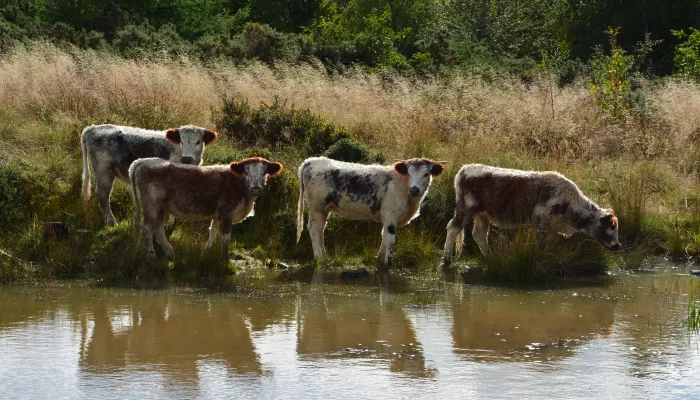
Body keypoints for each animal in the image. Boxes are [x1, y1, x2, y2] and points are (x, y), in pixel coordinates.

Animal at [79, 123, 217, 227]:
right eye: (181, 142)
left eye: (198, 142)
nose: (186, 158)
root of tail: (93, 128)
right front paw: (169, 223)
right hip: (103, 171)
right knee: (103, 195)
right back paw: (111, 222)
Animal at [129, 156, 282, 260]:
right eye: (246, 172)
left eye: (264, 172)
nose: (256, 188)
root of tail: (145, 160)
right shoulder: (226, 213)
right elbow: (225, 238)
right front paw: (224, 260)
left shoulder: (218, 215)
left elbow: (212, 232)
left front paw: (207, 253)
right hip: (152, 204)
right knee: (148, 227)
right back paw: (151, 257)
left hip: (161, 207)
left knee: (158, 227)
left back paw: (169, 253)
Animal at [298, 158, 446, 268]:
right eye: (408, 173)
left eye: (426, 174)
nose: (414, 189)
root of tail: (311, 161)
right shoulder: (390, 215)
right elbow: (390, 239)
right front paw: (387, 264)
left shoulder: (387, 219)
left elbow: (384, 237)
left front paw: (379, 260)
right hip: (317, 206)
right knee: (314, 229)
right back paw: (320, 258)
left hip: (324, 209)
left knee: (321, 230)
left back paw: (324, 256)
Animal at [442, 164, 624, 264]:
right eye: (612, 226)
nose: (617, 245)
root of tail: (464, 169)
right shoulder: (542, 223)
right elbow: (541, 246)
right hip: (466, 209)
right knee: (453, 228)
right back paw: (446, 259)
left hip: (482, 215)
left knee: (478, 234)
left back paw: (490, 257)